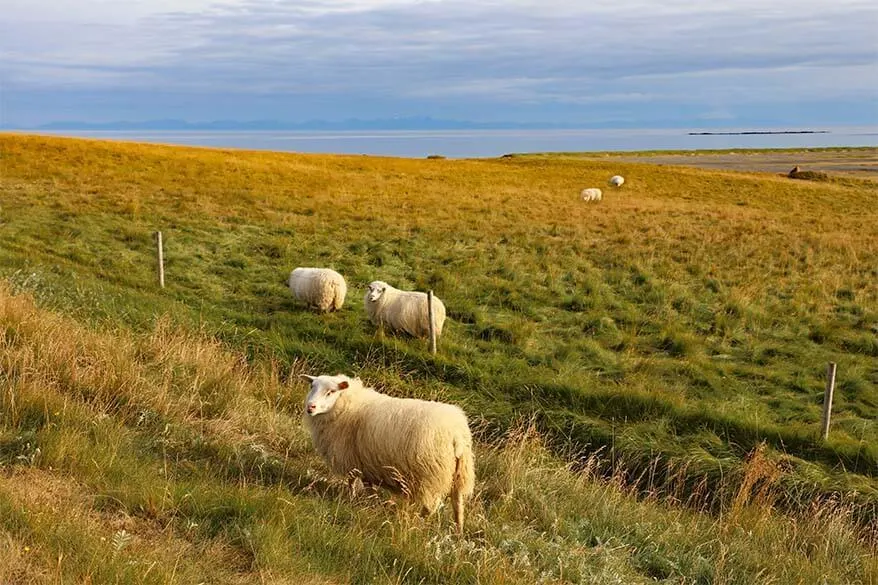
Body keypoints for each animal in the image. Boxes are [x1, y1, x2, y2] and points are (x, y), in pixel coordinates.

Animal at [306, 372, 478, 532]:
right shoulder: (366, 462)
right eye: (312, 386)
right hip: (460, 472)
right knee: (458, 504)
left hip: (431, 474)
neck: (348, 405)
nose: (310, 407)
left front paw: (353, 497)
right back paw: (458, 531)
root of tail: (456, 434)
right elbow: (366, 485)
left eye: (331, 391)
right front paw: (369, 501)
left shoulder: (352, 457)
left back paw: (417, 523)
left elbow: (352, 480)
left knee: (431, 507)